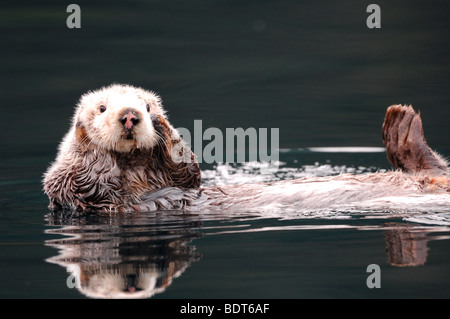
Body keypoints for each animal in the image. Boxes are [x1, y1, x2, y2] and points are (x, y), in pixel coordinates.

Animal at [43, 84, 450, 215]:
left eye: (145, 105)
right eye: (101, 108)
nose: (131, 116)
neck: (137, 169)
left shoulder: (181, 179)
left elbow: (188, 174)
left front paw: (168, 131)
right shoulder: (83, 191)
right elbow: (89, 181)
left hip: (431, 177)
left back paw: (401, 123)